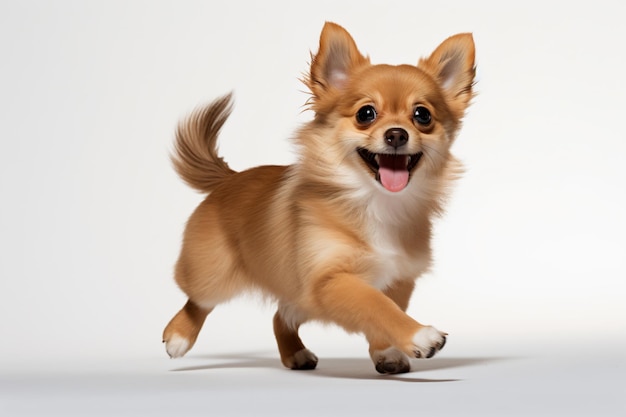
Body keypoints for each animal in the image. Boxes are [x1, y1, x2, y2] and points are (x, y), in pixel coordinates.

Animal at [161, 22, 472, 374]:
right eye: (366, 113)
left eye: (422, 116)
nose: (396, 134)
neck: (375, 203)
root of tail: (230, 178)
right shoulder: (329, 280)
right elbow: (377, 305)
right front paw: (419, 335)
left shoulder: (399, 277)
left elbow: (388, 307)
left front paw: (387, 352)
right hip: (214, 273)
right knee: (199, 299)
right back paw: (178, 336)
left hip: (298, 296)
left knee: (280, 316)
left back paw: (295, 353)